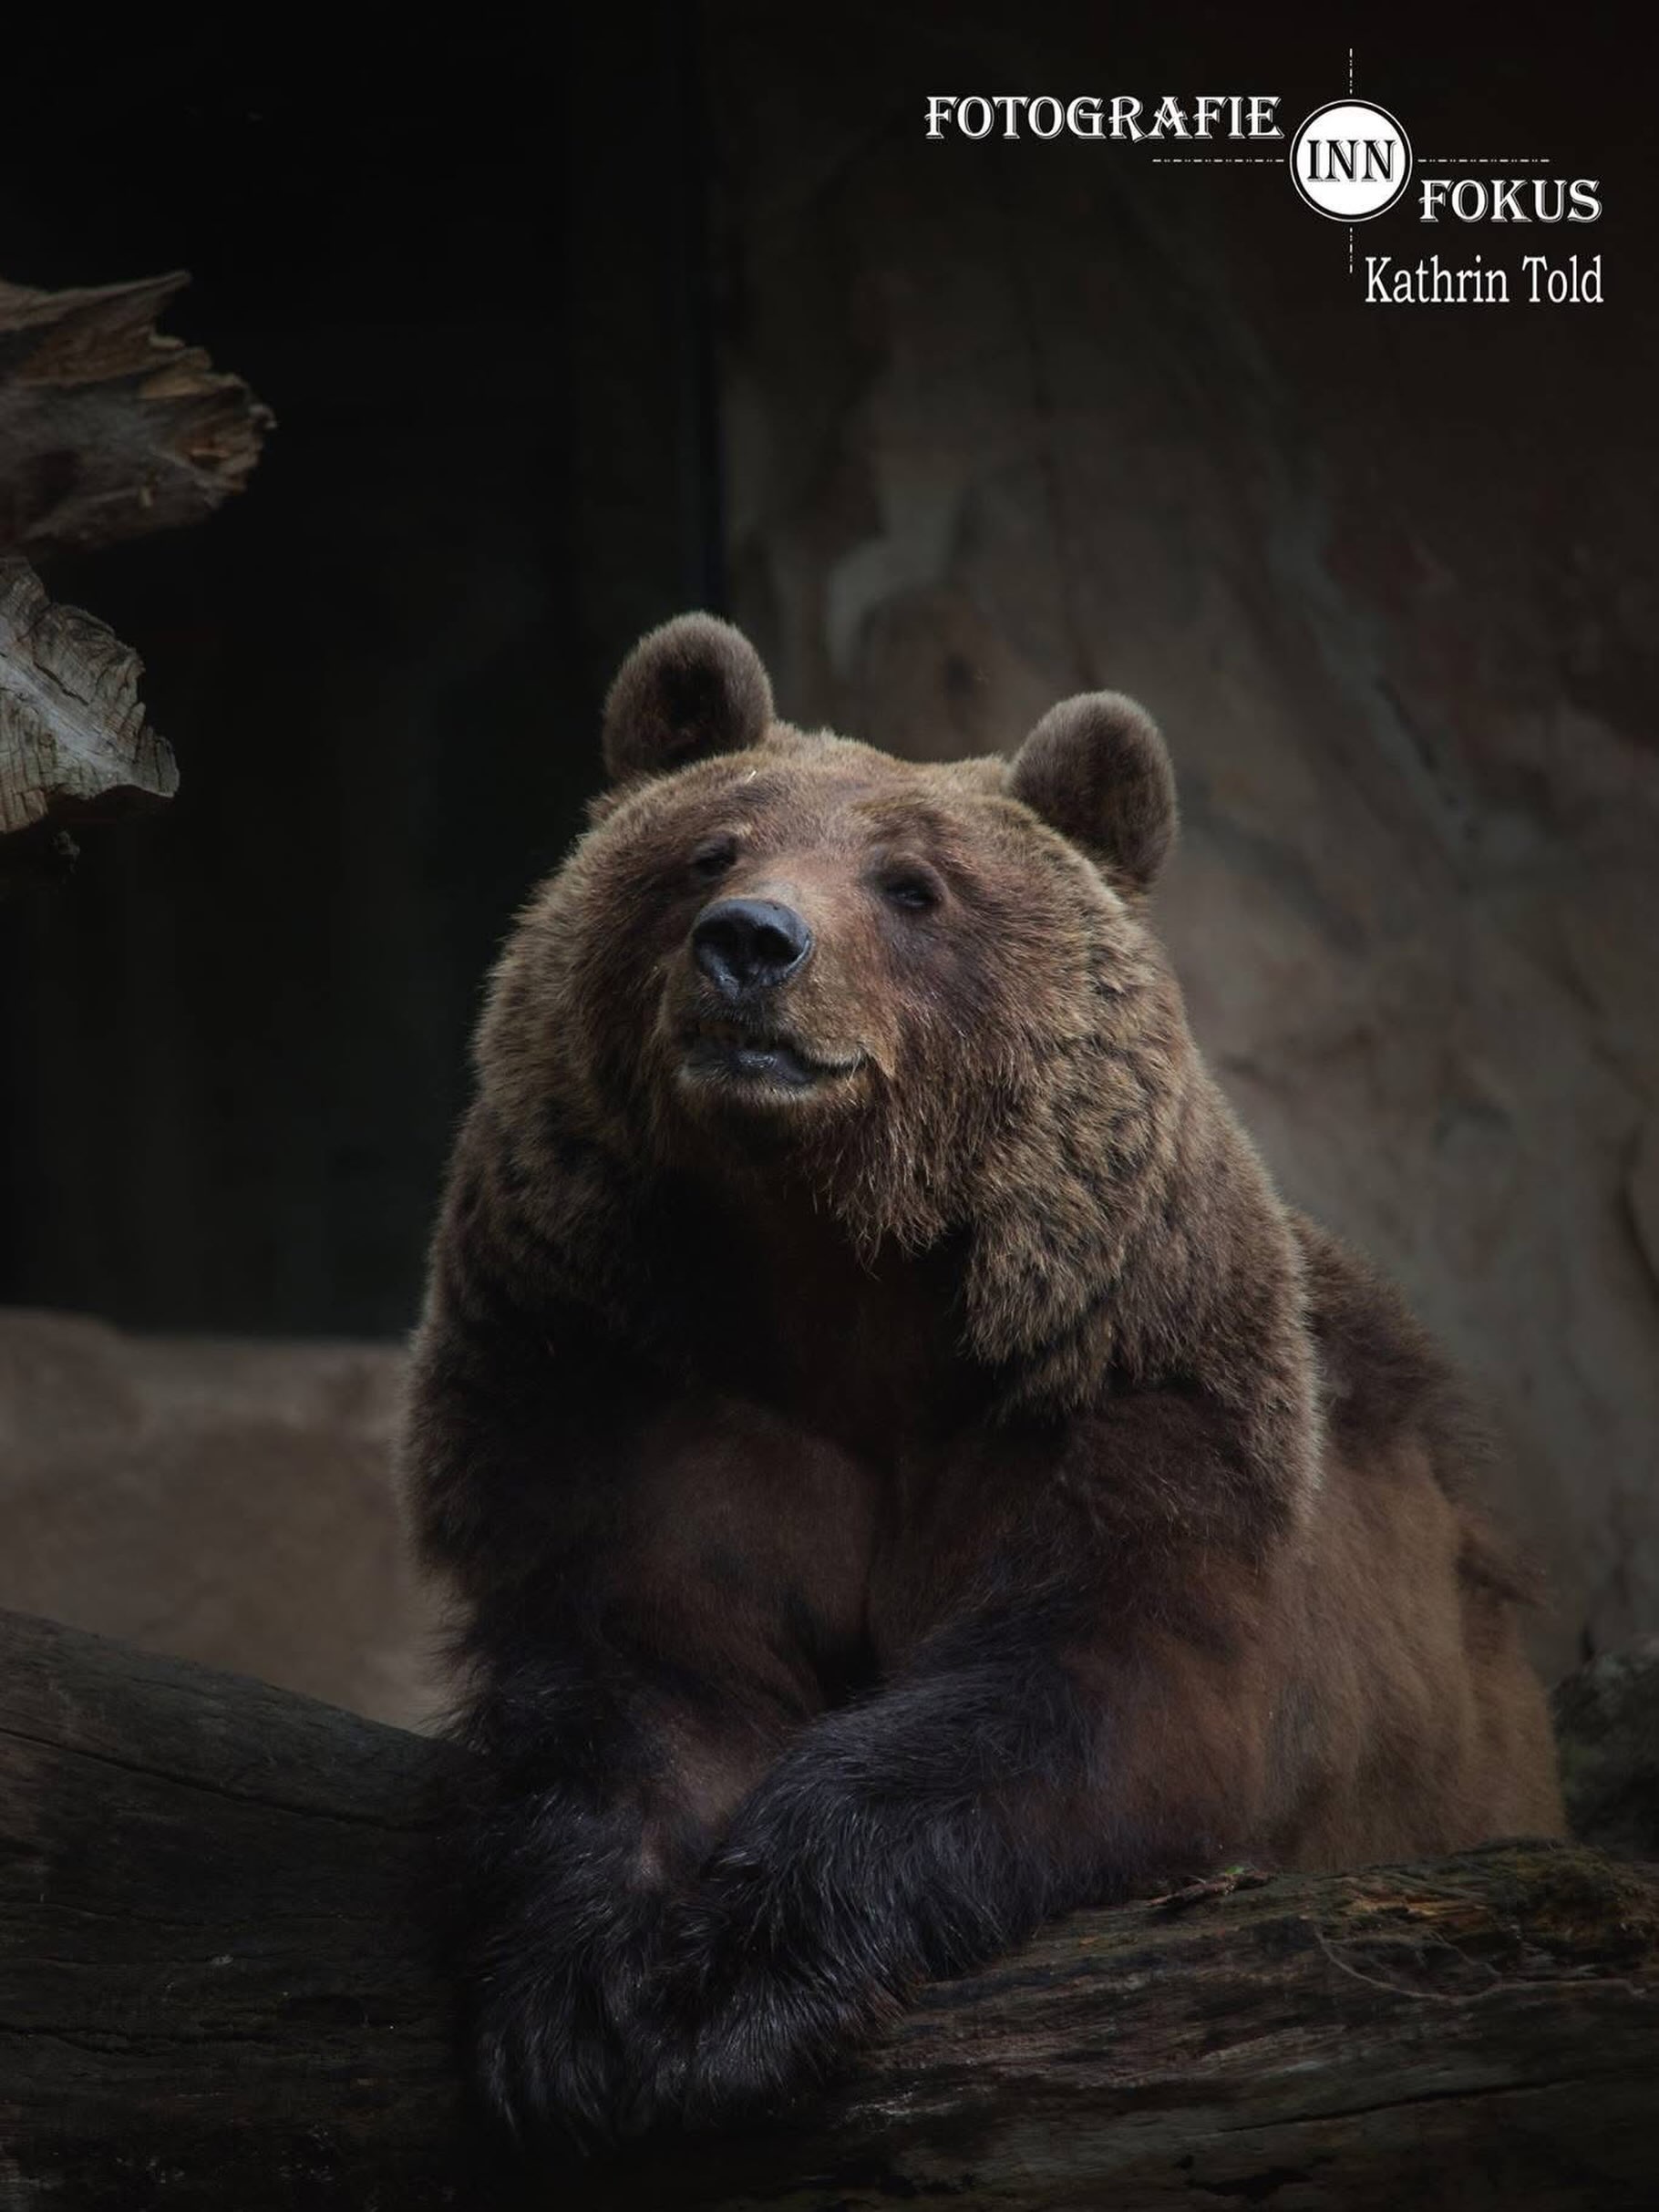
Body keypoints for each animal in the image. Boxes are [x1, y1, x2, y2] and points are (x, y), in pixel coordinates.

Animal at [405, 612, 1564, 2150]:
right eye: (709, 849)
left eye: (913, 885)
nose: (751, 943)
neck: (836, 1270)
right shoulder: (629, 1379)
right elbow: (645, 1668)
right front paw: (593, 2002)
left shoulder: (1110, 1402)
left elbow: (1069, 1689)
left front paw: (743, 1985)